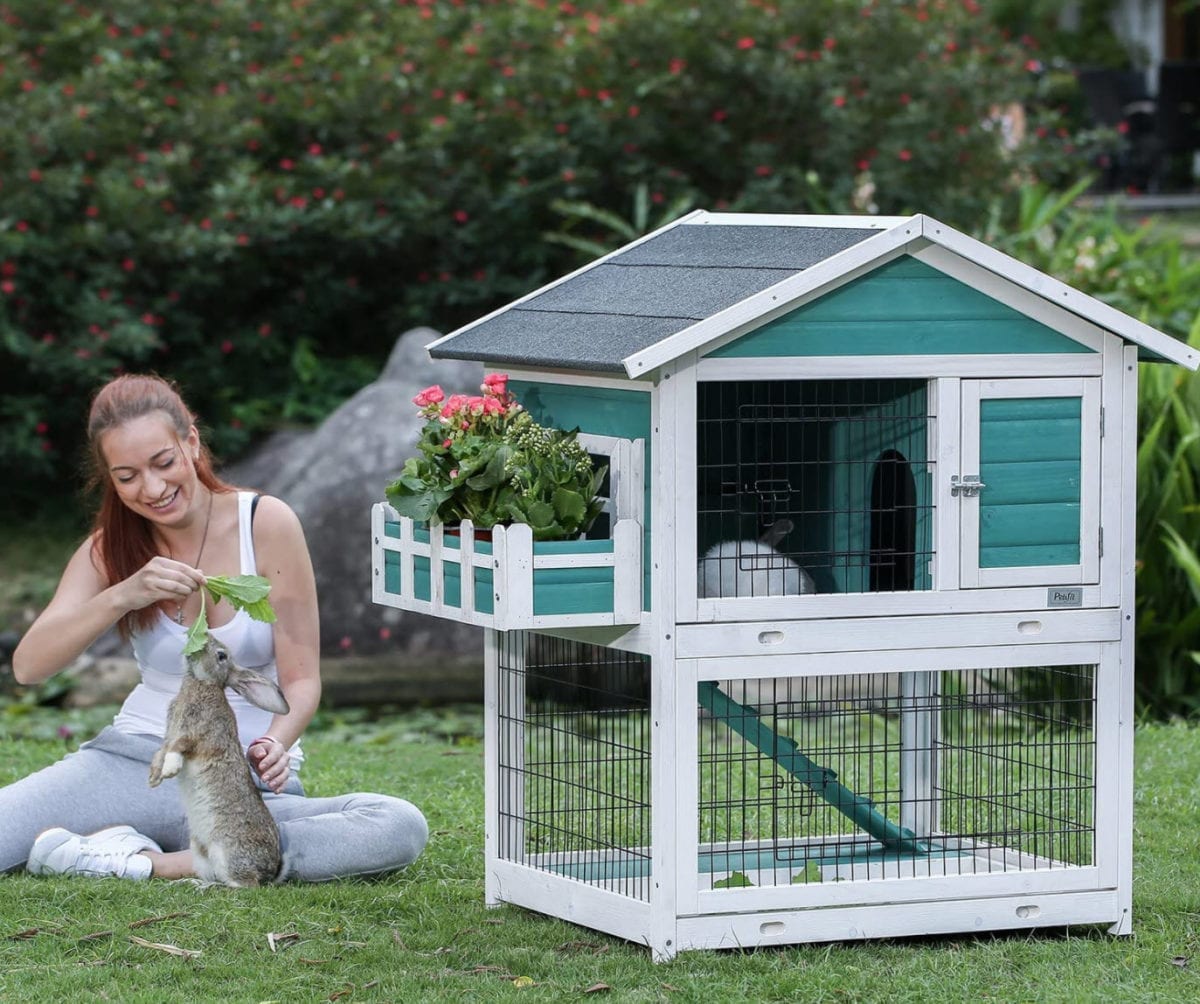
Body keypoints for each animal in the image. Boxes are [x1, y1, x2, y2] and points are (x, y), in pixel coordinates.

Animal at [148, 635, 290, 887]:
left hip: (226, 852)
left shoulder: (200, 733)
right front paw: (154, 776)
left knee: (244, 886)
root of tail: (270, 873)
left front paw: (170, 770)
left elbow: (177, 747)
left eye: (221, 656)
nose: (201, 639)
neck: (202, 682)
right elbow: (162, 750)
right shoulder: (170, 732)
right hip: (200, 852)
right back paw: (194, 884)